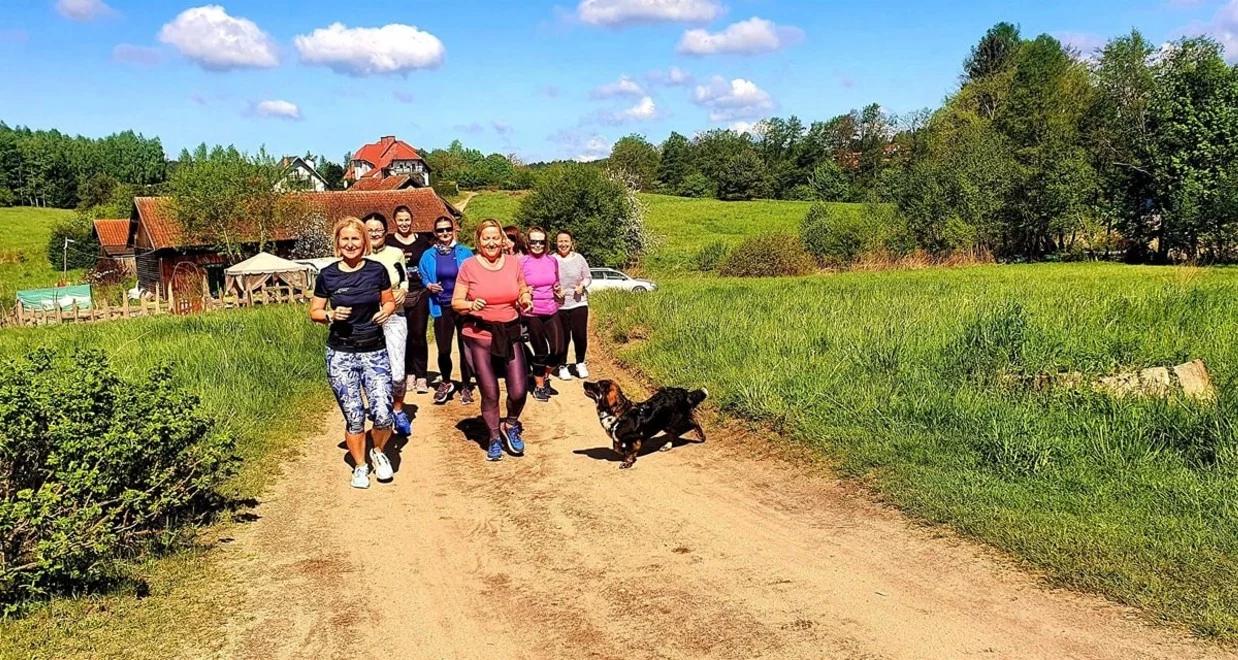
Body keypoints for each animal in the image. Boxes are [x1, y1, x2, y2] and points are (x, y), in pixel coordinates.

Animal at [579, 378, 708, 465]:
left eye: (597, 385)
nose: (584, 382)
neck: (617, 413)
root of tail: (684, 392)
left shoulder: (634, 438)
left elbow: (629, 452)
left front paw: (627, 462)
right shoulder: (618, 439)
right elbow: (617, 448)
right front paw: (624, 453)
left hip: (678, 421)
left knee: (695, 422)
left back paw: (701, 437)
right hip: (666, 423)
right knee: (674, 433)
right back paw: (667, 446)